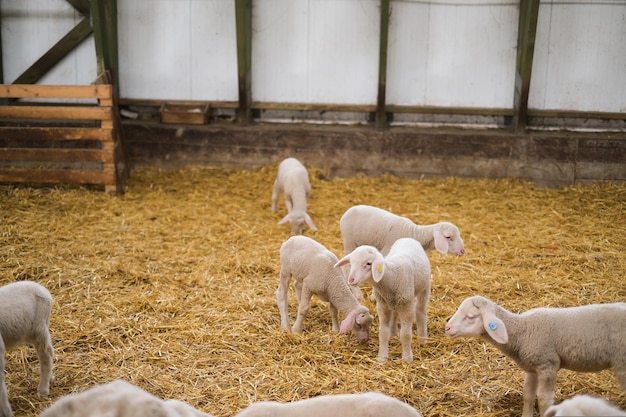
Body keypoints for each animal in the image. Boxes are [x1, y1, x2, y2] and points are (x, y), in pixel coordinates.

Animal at [336, 203, 464, 255]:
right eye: (448, 237)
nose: (462, 251)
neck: (414, 233)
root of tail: (348, 210)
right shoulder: (387, 250)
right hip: (349, 241)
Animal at [444, 292, 624, 416]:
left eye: (470, 316)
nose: (447, 328)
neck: (522, 330)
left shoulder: (547, 365)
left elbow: (544, 399)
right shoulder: (532, 367)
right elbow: (528, 395)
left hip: (622, 362)